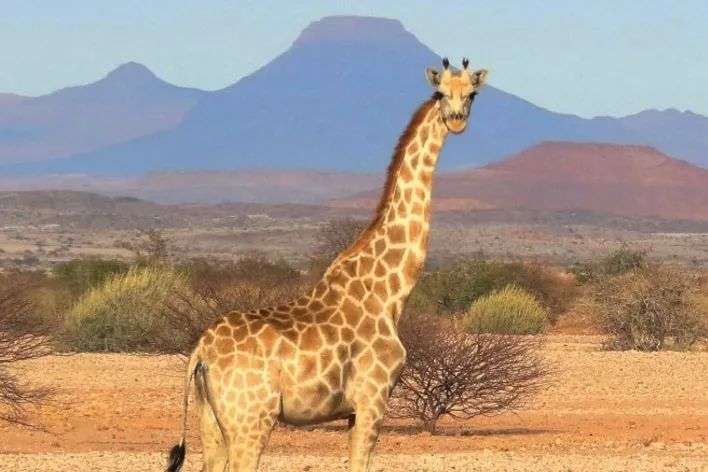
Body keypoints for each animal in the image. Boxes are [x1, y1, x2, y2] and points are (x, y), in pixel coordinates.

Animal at [166, 58, 488, 472]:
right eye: (440, 92)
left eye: (472, 93)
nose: (457, 119)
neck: (389, 293)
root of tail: (201, 351)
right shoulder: (372, 398)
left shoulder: (356, 409)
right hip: (251, 418)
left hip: (211, 419)